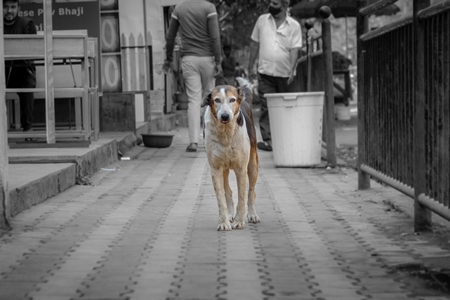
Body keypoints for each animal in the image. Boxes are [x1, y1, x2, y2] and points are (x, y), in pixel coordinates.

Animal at [201, 78, 260, 231]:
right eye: (217, 100)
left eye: (232, 100)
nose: (225, 116)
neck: (226, 133)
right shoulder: (215, 169)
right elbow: (221, 198)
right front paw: (224, 222)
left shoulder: (241, 169)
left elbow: (242, 197)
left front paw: (239, 221)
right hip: (224, 169)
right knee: (228, 191)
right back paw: (230, 214)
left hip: (253, 165)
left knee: (252, 191)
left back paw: (252, 214)